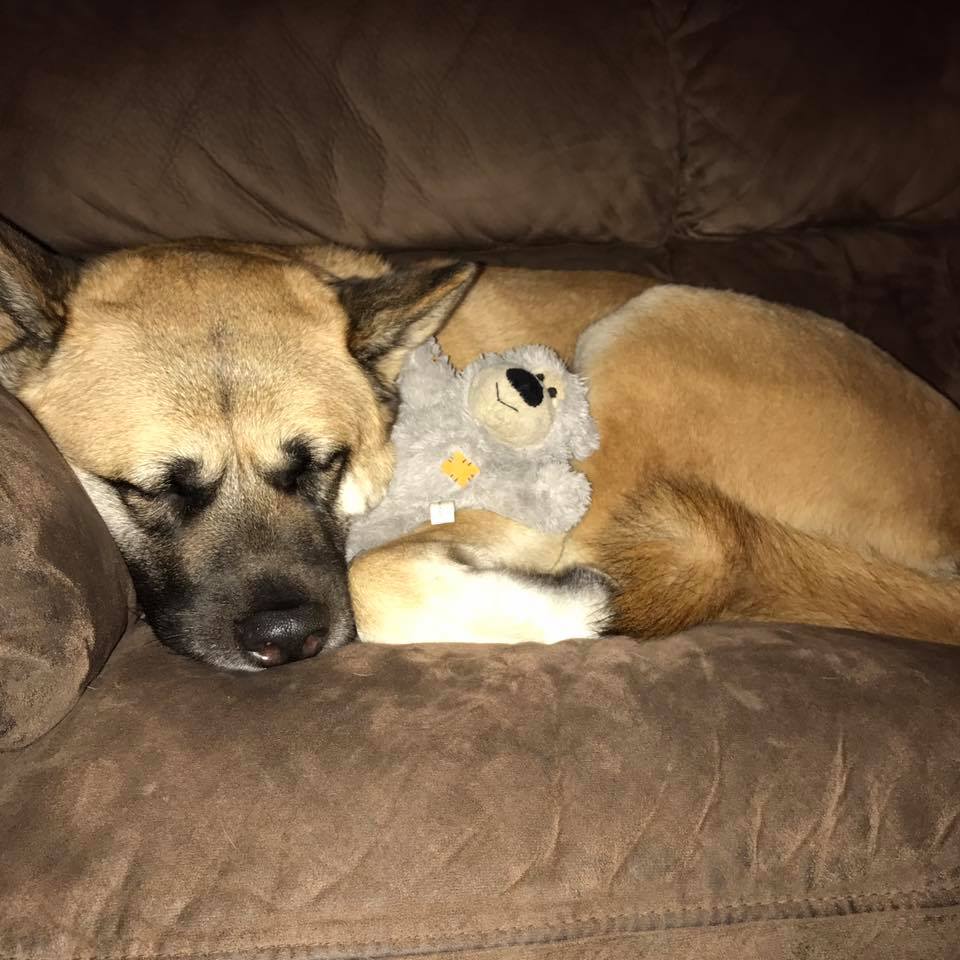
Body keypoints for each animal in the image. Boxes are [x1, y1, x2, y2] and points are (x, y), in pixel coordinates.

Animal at [1, 218, 960, 672]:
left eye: (324, 465)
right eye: (146, 490)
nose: (291, 640)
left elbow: (371, 579)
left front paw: (573, 610)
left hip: (640, 339)